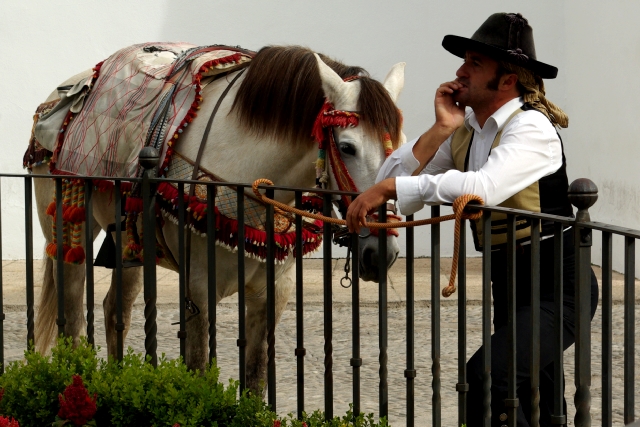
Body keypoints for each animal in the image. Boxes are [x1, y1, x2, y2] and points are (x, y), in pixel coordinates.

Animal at [31, 44, 404, 394]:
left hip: (128, 243)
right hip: (69, 229)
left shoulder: (273, 293)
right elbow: (198, 368)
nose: (381, 253)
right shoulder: (199, 291)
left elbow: (254, 376)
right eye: (347, 147)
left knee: (114, 311)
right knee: (73, 315)